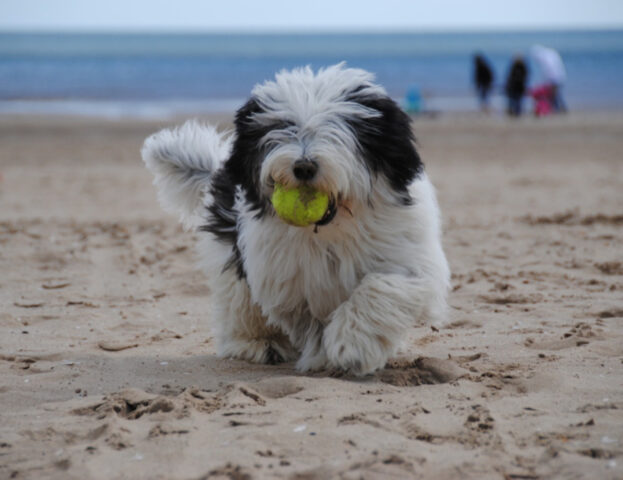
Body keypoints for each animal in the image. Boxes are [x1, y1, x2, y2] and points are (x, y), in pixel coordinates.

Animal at [144, 62, 450, 376]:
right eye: (284, 129)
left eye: (337, 131)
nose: (303, 167)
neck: (333, 229)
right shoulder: (289, 281)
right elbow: (309, 321)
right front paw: (325, 355)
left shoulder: (408, 257)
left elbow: (382, 287)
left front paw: (352, 343)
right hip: (234, 256)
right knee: (240, 302)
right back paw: (258, 342)